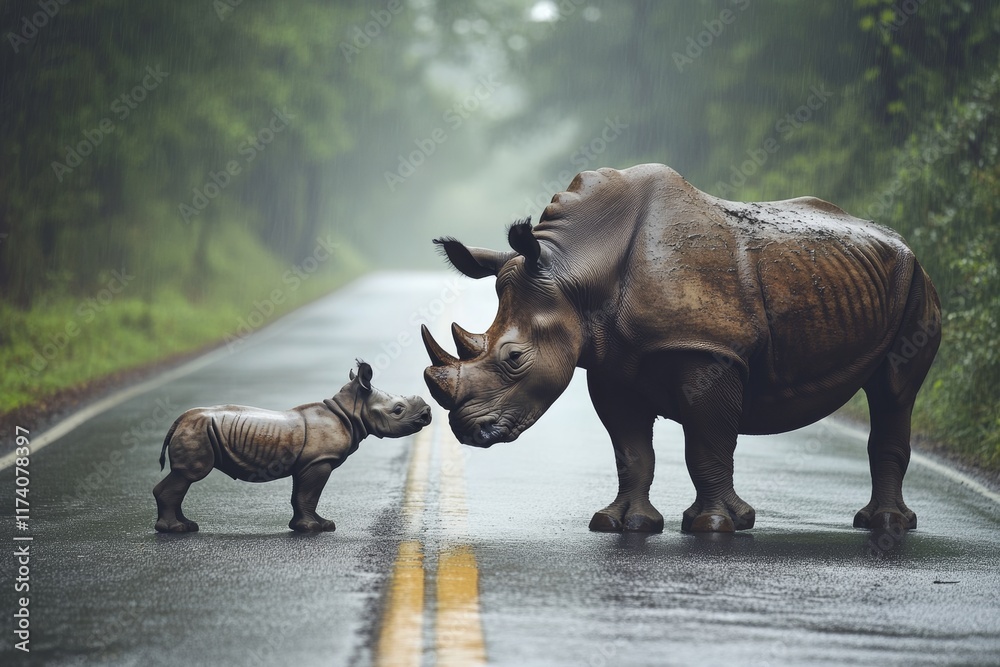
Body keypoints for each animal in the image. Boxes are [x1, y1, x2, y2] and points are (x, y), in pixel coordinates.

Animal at [154, 361, 431, 533]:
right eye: (398, 410)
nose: (428, 413)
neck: (348, 411)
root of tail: (178, 420)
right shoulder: (320, 461)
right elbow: (308, 495)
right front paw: (313, 528)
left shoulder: (308, 462)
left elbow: (301, 496)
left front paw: (318, 524)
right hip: (198, 431)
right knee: (189, 475)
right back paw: (176, 529)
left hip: (198, 430)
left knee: (183, 479)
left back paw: (186, 525)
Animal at [422, 164, 941, 534]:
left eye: (514, 359)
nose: (464, 430)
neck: (575, 270)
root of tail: (899, 240)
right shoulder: (610, 365)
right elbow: (631, 450)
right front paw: (621, 524)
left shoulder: (710, 350)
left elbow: (708, 442)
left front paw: (713, 526)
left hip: (914, 280)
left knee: (894, 392)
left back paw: (886, 525)